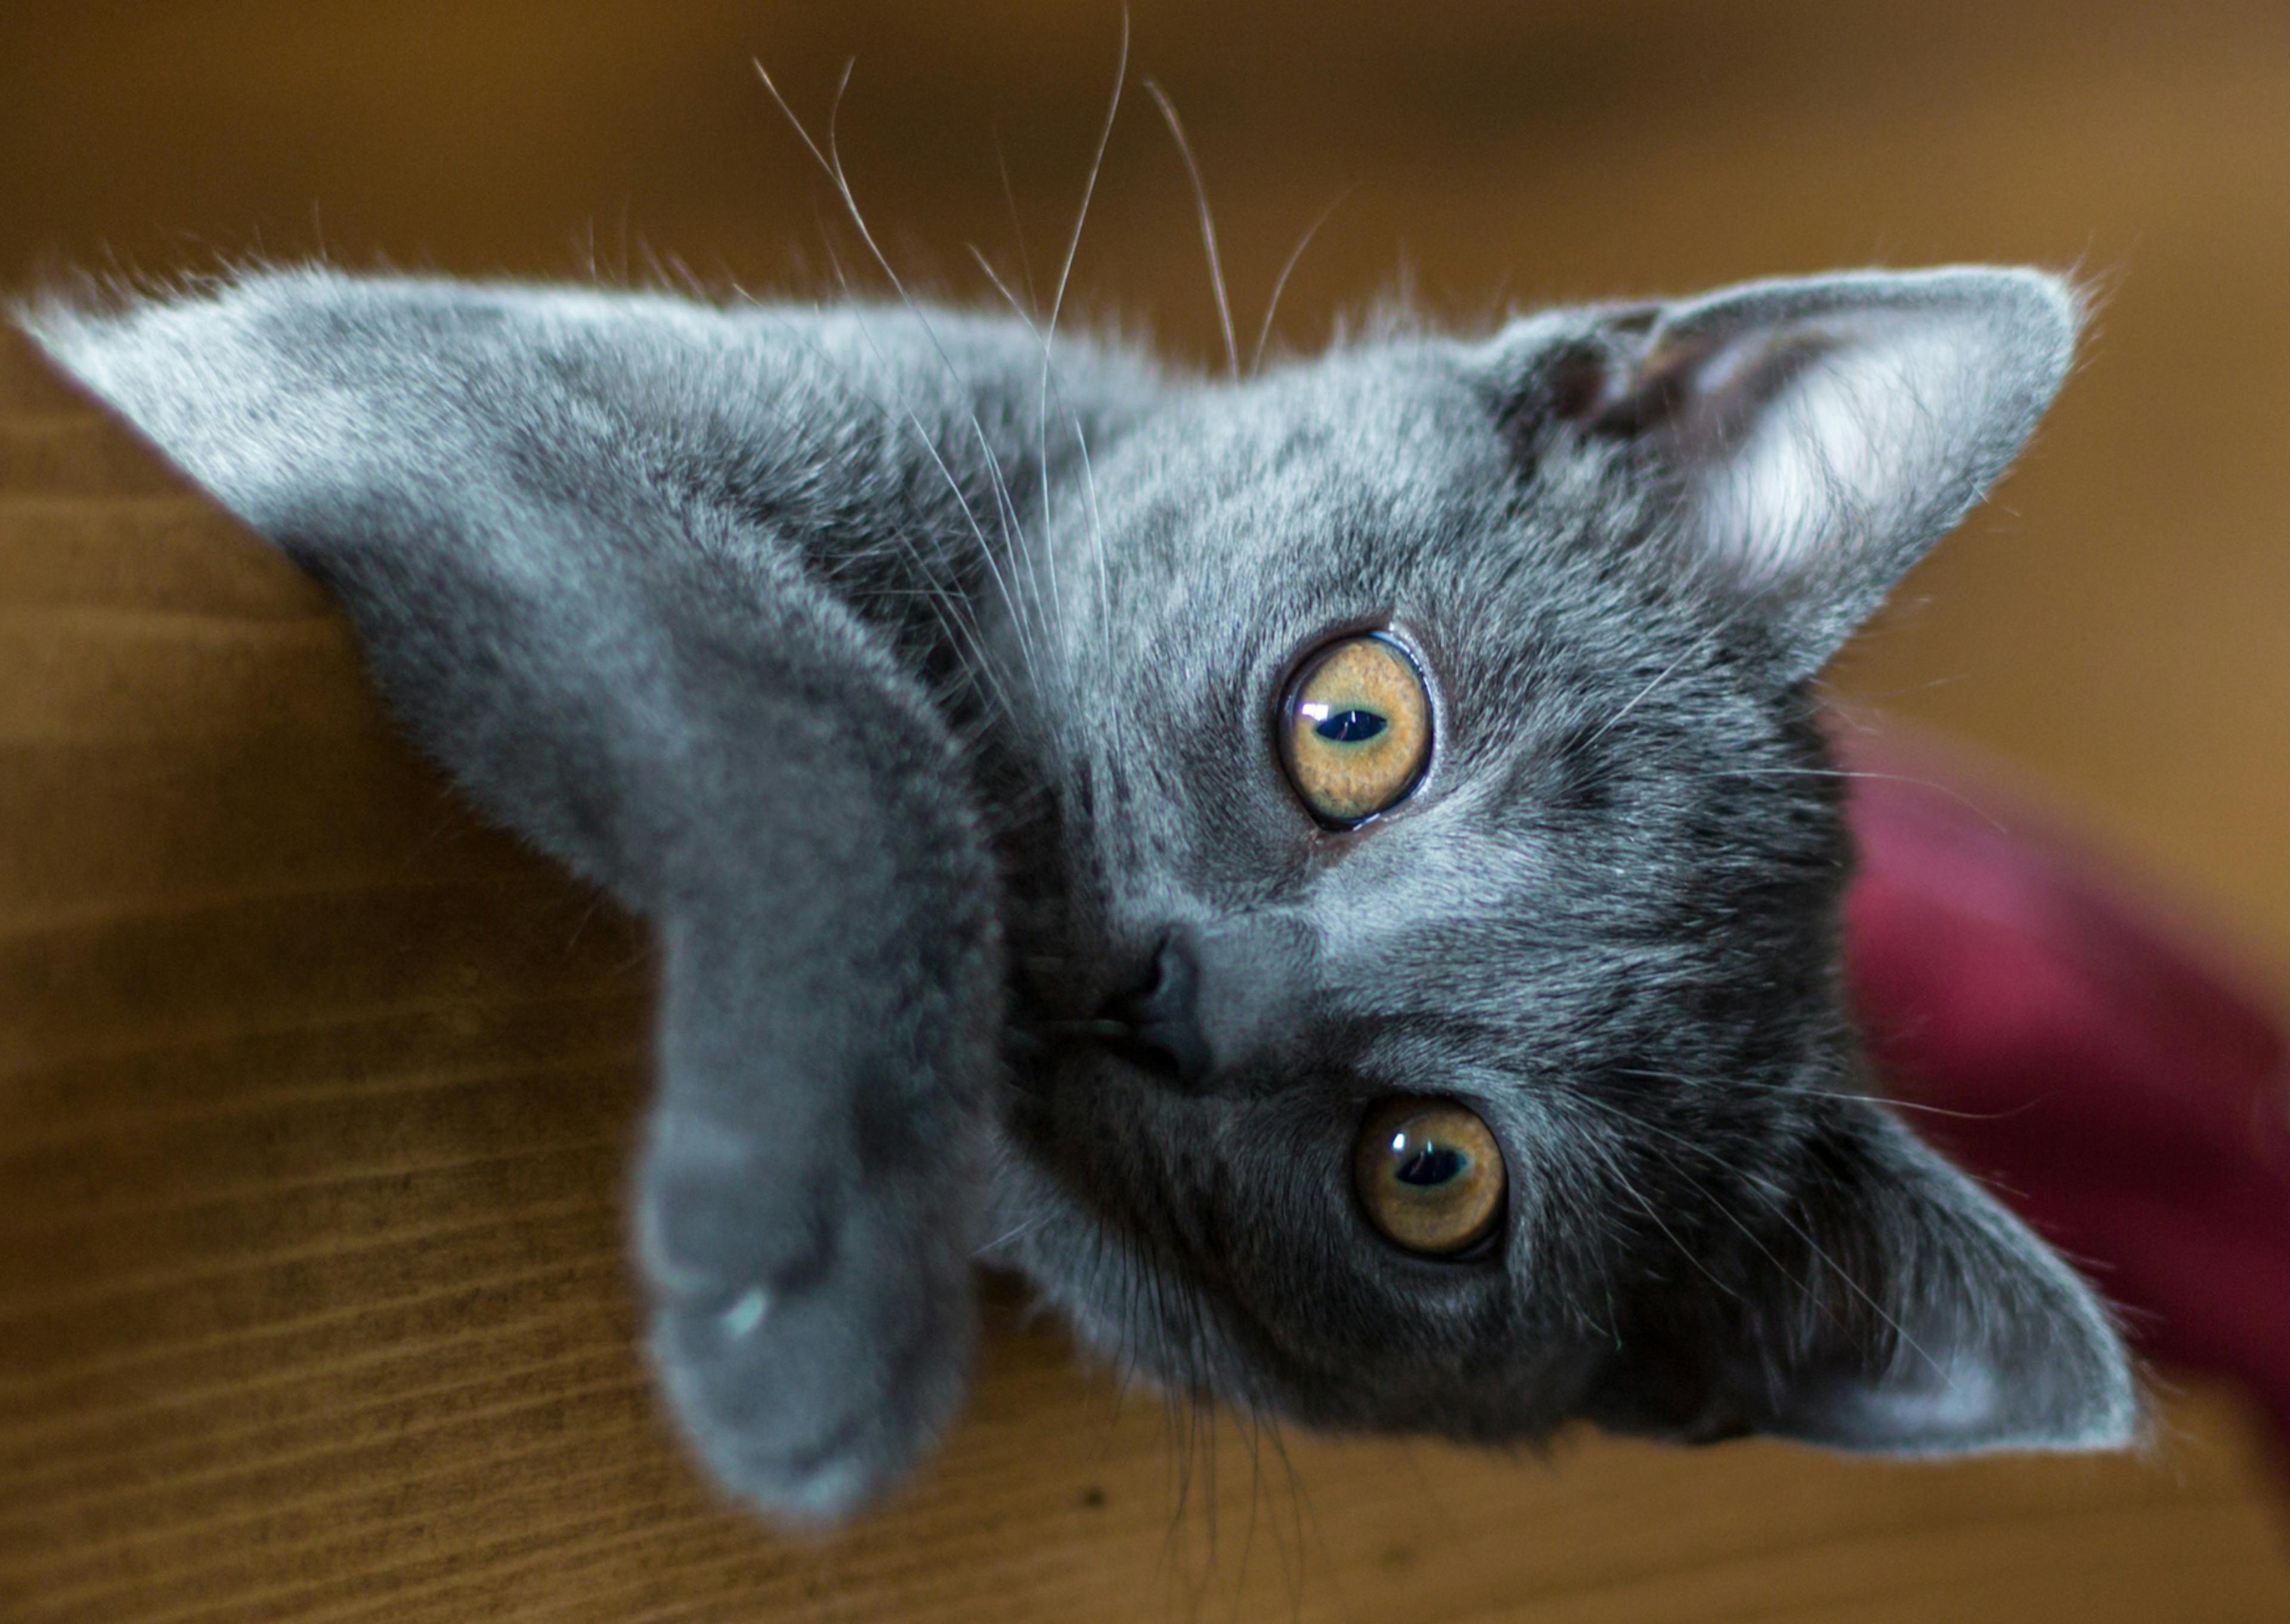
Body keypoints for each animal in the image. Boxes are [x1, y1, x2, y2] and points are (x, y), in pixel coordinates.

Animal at [22, 263, 2125, 1521]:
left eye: (1430, 1173)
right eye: (1355, 721)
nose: (1177, 989)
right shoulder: (395, 367)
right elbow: (817, 707)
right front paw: (820, 1278)